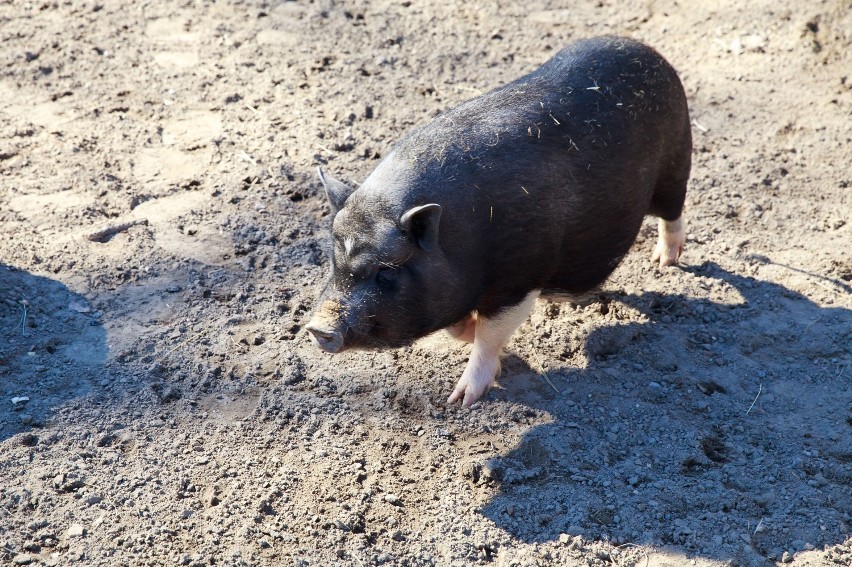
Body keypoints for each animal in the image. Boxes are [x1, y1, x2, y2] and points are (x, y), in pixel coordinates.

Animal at [306, 35, 692, 408]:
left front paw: (461, 401)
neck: (459, 237)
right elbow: (459, 328)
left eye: (386, 272)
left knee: (673, 214)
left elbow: (490, 335)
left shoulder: (519, 279)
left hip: (675, 163)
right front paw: (468, 331)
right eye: (334, 261)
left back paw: (664, 261)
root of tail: (645, 50)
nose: (318, 328)